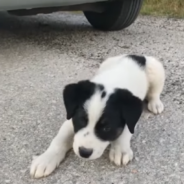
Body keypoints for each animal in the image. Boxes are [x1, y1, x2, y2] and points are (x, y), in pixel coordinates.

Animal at [30, 54, 165, 178]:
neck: (111, 84)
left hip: (157, 71)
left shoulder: (132, 117)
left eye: (107, 128)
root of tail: (136, 55)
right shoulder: (70, 119)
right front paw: (45, 159)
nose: (84, 152)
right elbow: (59, 139)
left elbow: (126, 131)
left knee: (154, 92)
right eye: (81, 120)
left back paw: (155, 103)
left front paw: (120, 150)